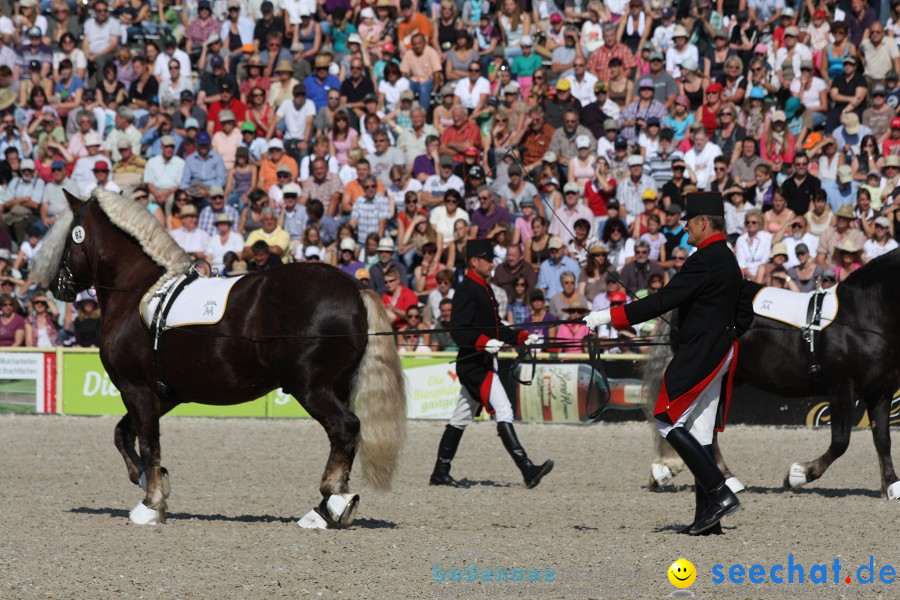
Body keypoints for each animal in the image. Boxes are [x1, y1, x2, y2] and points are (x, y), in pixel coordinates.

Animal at [31, 191, 404, 524]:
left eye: (70, 237)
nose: (56, 286)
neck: (138, 291)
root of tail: (355, 288)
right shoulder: (162, 395)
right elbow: (123, 434)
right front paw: (153, 481)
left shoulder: (135, 389)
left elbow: (148, 444)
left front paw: (151, 505)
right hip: (336, 386)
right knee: (346, 436)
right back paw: (328, 506)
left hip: (311, 388)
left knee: (344, 428)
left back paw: (331, 504)